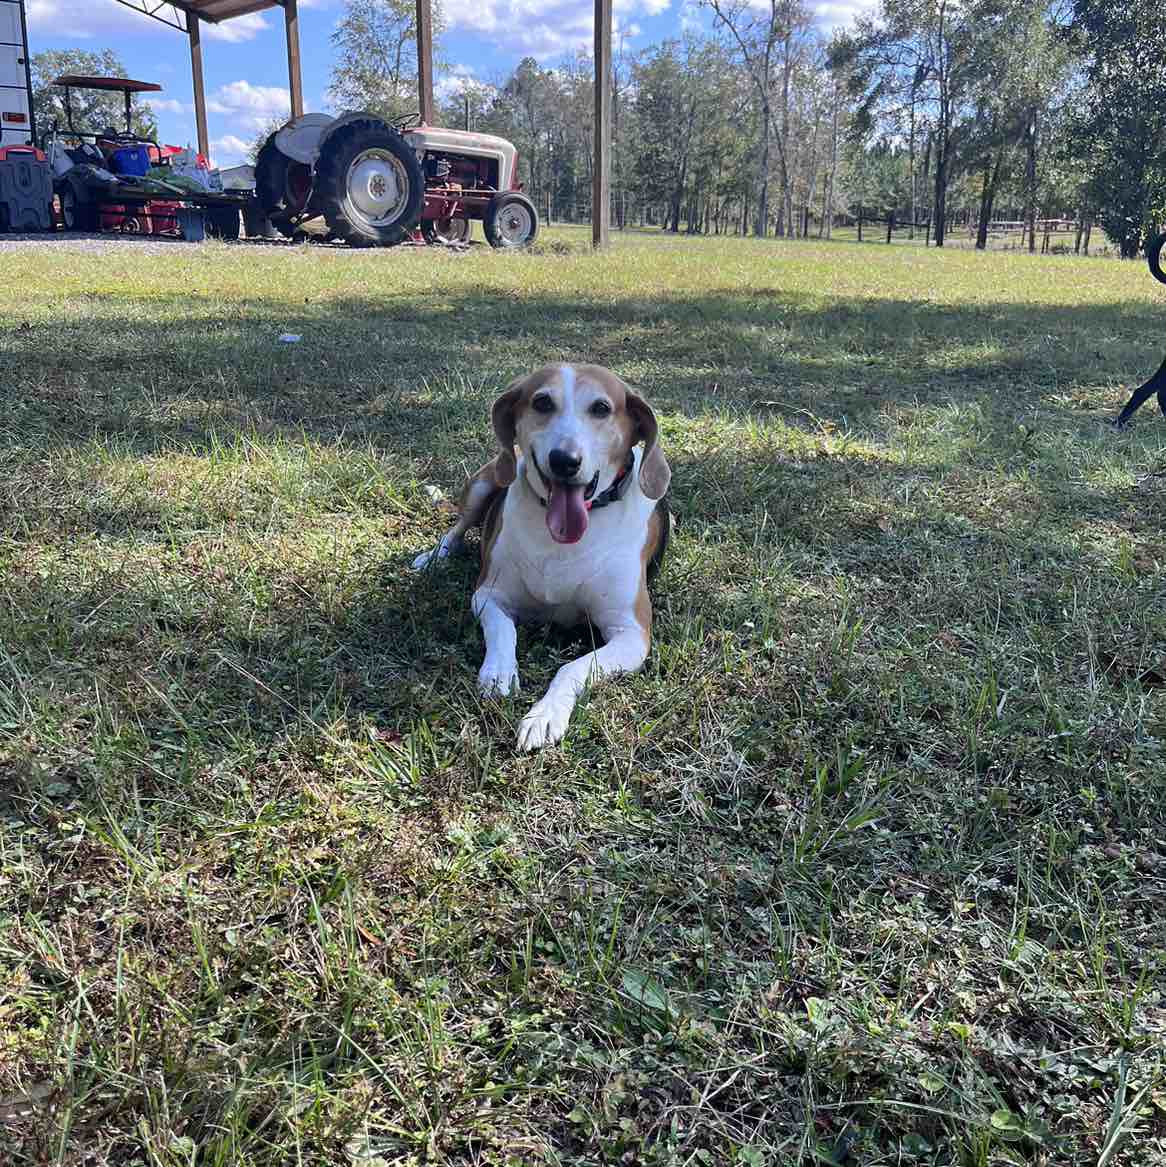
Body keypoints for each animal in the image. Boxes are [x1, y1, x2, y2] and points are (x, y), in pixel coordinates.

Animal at [413, 363, 671, 751]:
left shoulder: (632, 633)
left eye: (601, 408)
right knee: (456, 529)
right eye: (542, 402)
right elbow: (503, 630)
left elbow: (572, 667)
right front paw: (498, 672)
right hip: (484, 484)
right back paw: (434, 557)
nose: (564, 461)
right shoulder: (489, 596)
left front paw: (545, 714)